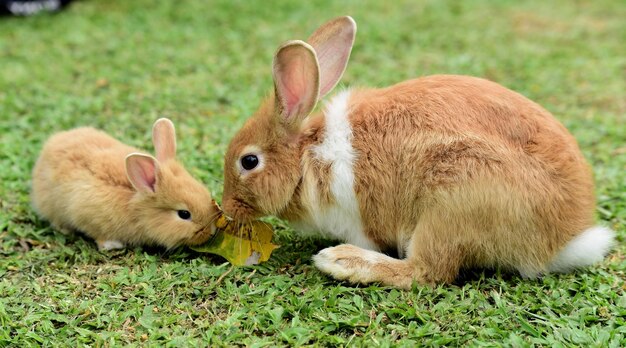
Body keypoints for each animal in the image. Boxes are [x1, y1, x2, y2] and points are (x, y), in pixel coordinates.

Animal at [221, 16, 616, 288]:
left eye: (249, 161)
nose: (225, 209)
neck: (307, 156)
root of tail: (561, 241)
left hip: (452, 204)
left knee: (425, 272)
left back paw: (342, 261)